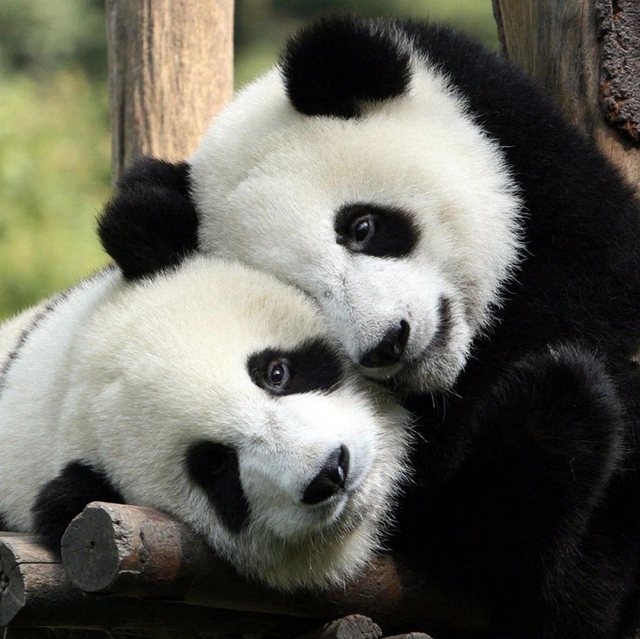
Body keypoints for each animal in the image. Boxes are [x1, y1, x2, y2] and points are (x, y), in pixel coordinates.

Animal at [100, 16, 640, 638]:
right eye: (306, 296)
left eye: (362, 227)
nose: (388, 343)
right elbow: (477, 539)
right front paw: (555, 405)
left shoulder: (540, 177)